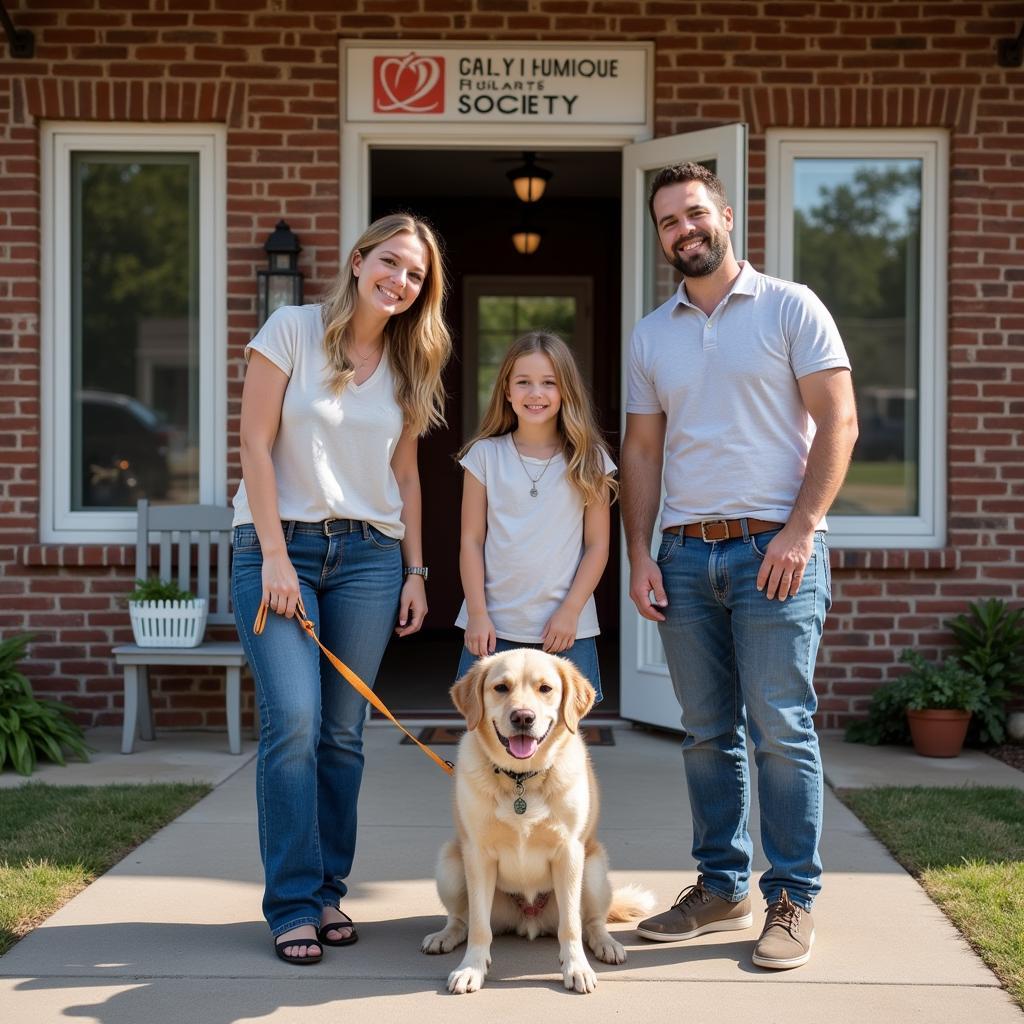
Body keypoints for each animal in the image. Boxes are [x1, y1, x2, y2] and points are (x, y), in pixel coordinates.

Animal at [421, 647, 647, 991]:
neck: (521, 779)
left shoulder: (570, 852)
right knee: (462, 920)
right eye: (501, 687)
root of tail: (529, 920)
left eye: (545, 688)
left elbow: (571, 925)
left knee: (592, 922)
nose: (523, 718)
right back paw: (445, 936)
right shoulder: (477, 855)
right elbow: (479, 928)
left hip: (594, 870)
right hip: (450, 864)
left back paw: (606, 943)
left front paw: (576, 967)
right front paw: (472, 968)